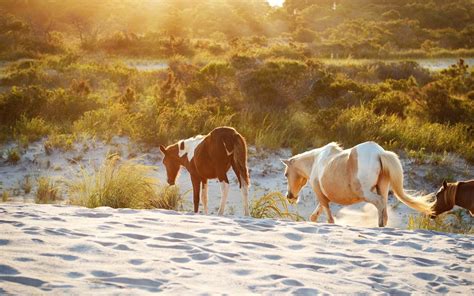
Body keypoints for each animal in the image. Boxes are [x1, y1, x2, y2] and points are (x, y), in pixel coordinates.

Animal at [282, 141, 434, 227]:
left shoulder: (320, 194)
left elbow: (329, 218)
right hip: (382, 188)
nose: (290, 197)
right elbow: (315, 215)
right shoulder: (325, 197)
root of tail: (380, 153)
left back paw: (379, 226)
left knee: (379, 203)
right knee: (384, 206)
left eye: (286, 174)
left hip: (365, 193)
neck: (316, 161)